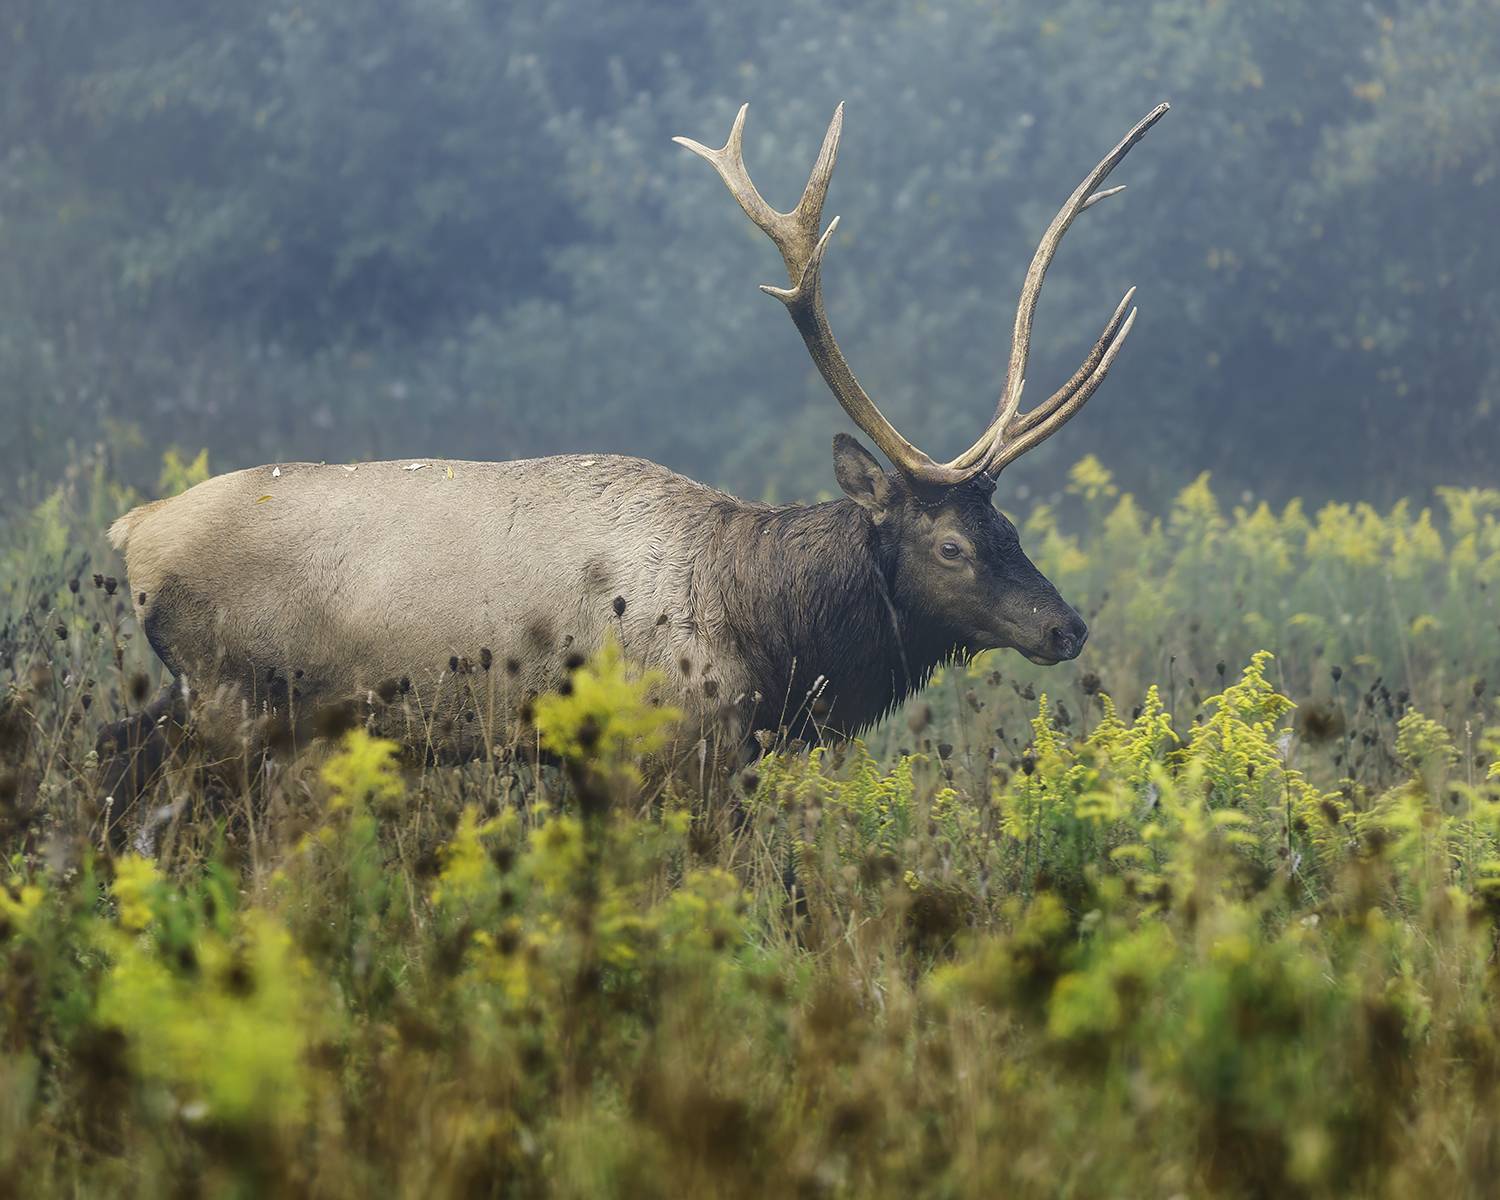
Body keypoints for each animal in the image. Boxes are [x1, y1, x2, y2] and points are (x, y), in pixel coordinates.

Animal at [105, 96, 1164, 768]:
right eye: (950, 545)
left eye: (1011, 528)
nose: (1065, 625)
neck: (765, 637)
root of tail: (133, 531)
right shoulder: (665, 747)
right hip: (232, 697)